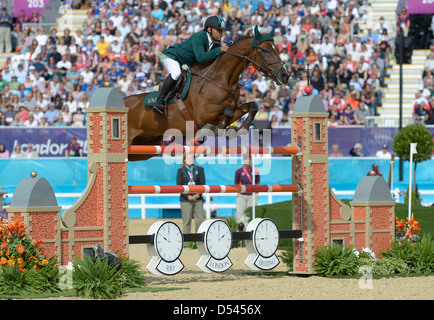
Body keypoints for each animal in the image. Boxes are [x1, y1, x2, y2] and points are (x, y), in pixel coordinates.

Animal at [124, 26, 288, 162]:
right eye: (265, 50)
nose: (285, 76)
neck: (221, 78)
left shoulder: (230, 109)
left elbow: (251, 106)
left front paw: (239, 129)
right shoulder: (202, 114)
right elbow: (227, 112)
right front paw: (213, 129)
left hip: (143, 147)